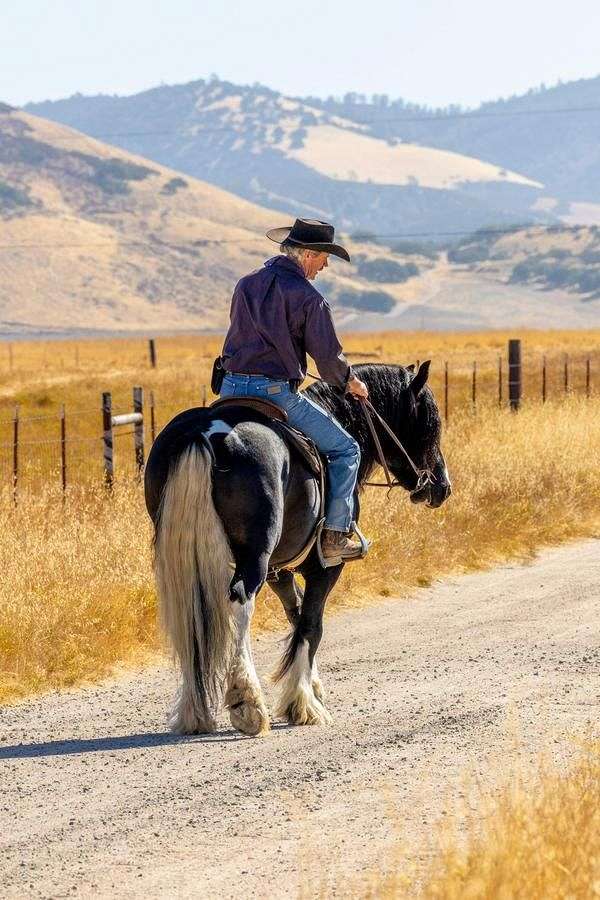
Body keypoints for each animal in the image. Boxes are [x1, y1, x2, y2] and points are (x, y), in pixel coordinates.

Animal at [144, 362, 450, 736]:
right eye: (428, 423)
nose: (441, 487)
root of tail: (205, 433)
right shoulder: (323, 566)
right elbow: (312, 624)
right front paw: (304, 704)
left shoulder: (281, 571)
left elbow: (297, 613)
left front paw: (311, 687)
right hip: (255, 557)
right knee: (240, 604)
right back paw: (247, 704)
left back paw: (194, 711)